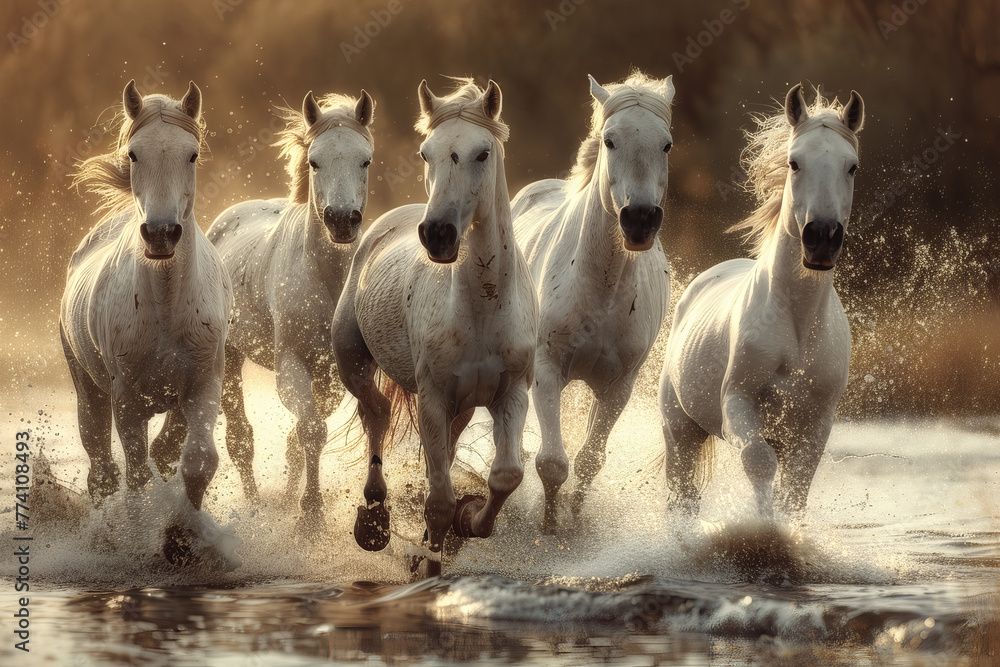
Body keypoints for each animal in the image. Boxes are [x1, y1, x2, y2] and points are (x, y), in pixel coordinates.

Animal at [60, 80, 232, 565]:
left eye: (192, 154)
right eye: (134, 154)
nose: (160, 233)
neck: (167, 307)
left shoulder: (203, 385)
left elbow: (197, 461)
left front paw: (180, 537)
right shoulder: (126, 400)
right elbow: (136, 473)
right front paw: (145, 538)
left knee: (164, 452)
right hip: (89, 391)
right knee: (102, 470)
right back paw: (106, 536)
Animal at [206, 90, 375, 525]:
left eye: (365, 159)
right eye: (315, 161)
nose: (342, 221)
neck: (327, 283)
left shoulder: (333, 376)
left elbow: (302, 435)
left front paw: (296, 502)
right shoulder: (292, 365)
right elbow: (311, 431)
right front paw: (310, 515)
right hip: (230, 358)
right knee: (240, 438)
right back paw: (253, 505)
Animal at [332, 78, 537, 572]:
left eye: (483, 152)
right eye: (426, 153)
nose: (438, 233)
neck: (481, 308)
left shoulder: (511, 394)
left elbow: (505, 476)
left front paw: (468, 521)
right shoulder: (432, 398)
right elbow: (439, 501)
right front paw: (430, 559)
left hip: (459, 408)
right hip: (352, 362)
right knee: (376, 413)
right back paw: (374, 520)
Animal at [510, 72, 675, 533]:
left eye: (666, 144)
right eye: (610, 140)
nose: (639, 220)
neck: (602, 288)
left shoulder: (618, 387)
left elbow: (587, 462)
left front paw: (573, 517)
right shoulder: (547, 370)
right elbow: (552, 463)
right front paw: (547, 527)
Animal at [658, 84, 864, 523]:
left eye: (852, 167)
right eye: (794, 162)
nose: (821, 238)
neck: (797, 326)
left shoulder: (815, 425)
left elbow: (795, 493)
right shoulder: (737, 403)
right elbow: (757, 460)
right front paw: (763, 527)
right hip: (679, 428)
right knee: (682, 496)